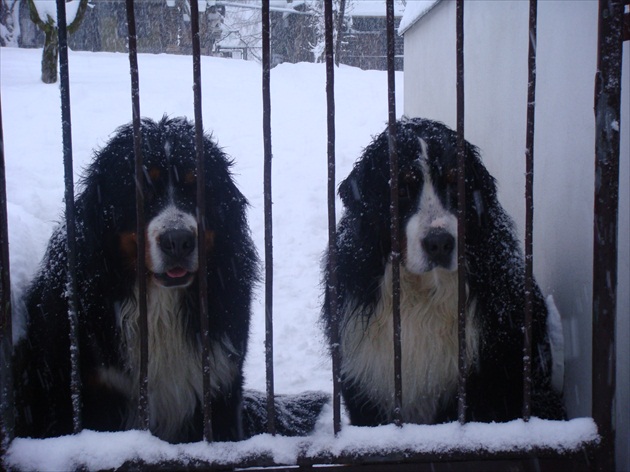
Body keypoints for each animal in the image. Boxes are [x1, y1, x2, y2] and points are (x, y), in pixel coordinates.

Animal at [14, 116, 328, 440]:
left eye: (197, 188)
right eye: (141, 190)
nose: (178, 241)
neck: (160, 307)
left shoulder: (220, 384)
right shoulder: (98, 391)